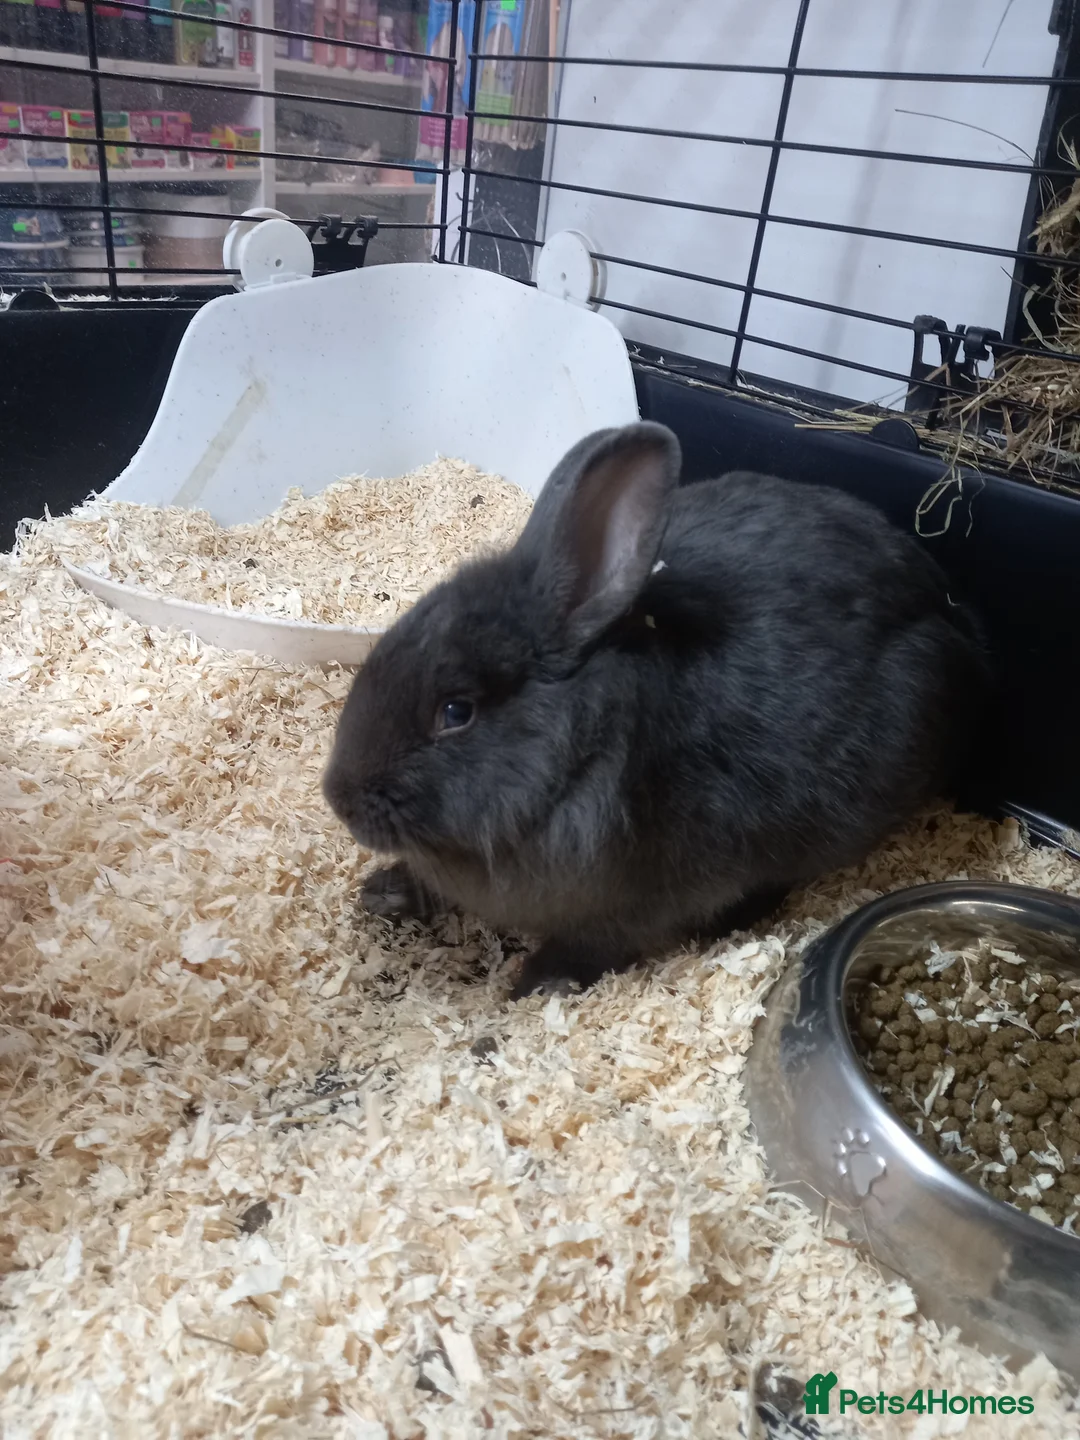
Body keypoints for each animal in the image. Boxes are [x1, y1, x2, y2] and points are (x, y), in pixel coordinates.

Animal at [323, 422, 993, 999]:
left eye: (456, 710)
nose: (339, 799)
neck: (581, 757)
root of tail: (950, 614)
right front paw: (385, 892)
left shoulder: (636, 906)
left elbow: (594, 944)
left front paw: (538, 982)